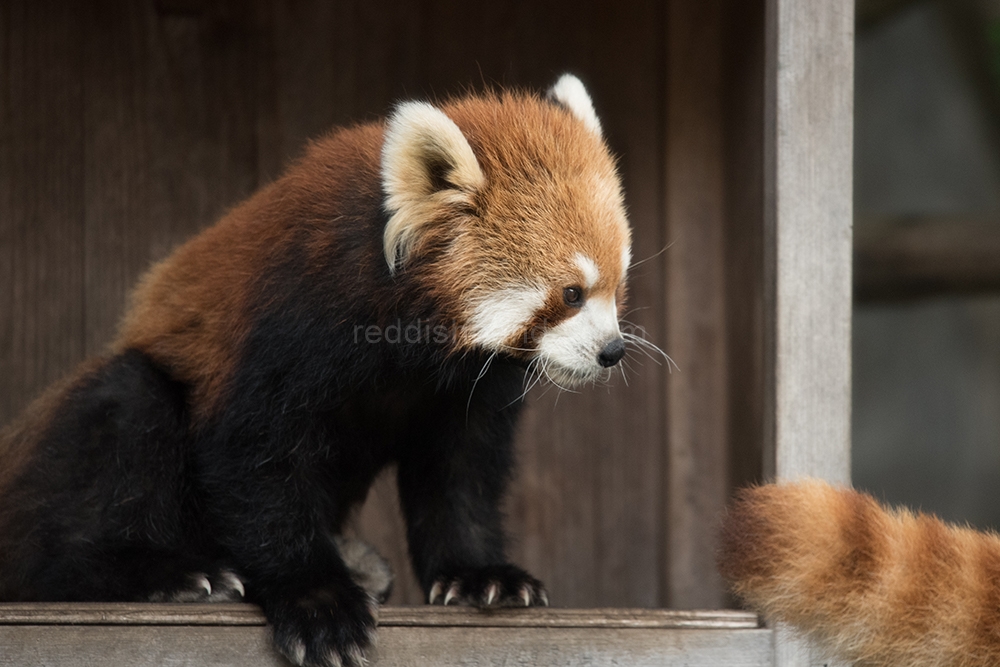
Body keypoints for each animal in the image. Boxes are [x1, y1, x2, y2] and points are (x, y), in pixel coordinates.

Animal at [0, 74, 632, 667]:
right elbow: (256, 460)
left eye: (616, 287)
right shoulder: (291, 322)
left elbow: (462, 470)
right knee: (127, 408)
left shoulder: (463, 387)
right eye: (571, 294)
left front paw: (480, 575)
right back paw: (164, 575)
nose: (613, 351)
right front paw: (316, 601)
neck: (410, 334)